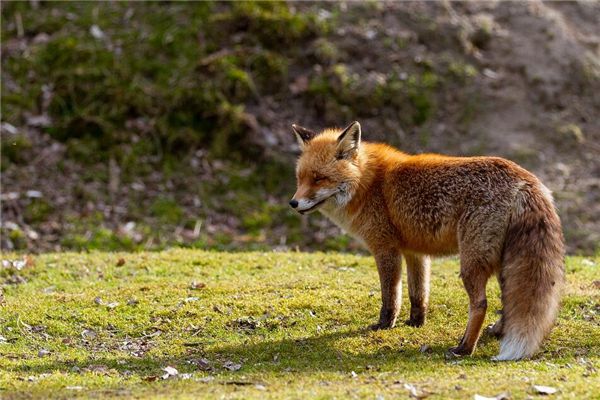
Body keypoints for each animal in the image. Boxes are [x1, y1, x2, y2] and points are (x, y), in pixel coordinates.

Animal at [288, 121, 564, 360]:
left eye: (319, 178)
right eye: (300, 179)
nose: (293, 203)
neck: (368, 184)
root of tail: (526, 179)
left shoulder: (385, 248)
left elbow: (391, 296)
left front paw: (384, 325)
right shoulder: (414, 251)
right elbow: (417, 293)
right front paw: (415, 322)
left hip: (471, 263)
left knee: (481, 304)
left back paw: (464, 348)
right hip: (504, 262)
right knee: (508, 302)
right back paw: (497, 331)